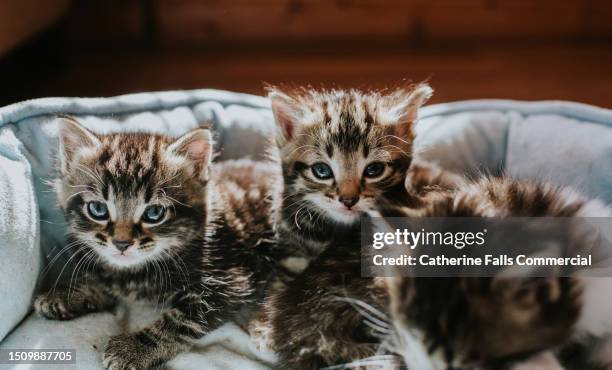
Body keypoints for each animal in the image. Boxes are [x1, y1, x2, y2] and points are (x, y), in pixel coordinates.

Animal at [35, 118, 280, 370]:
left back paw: (266, 330)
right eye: (98, 209)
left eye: (154, 213)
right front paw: (66, 294)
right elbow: (108, 279)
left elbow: (179, 321)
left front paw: (135, 349)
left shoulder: (228, 281)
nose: (121, 243)